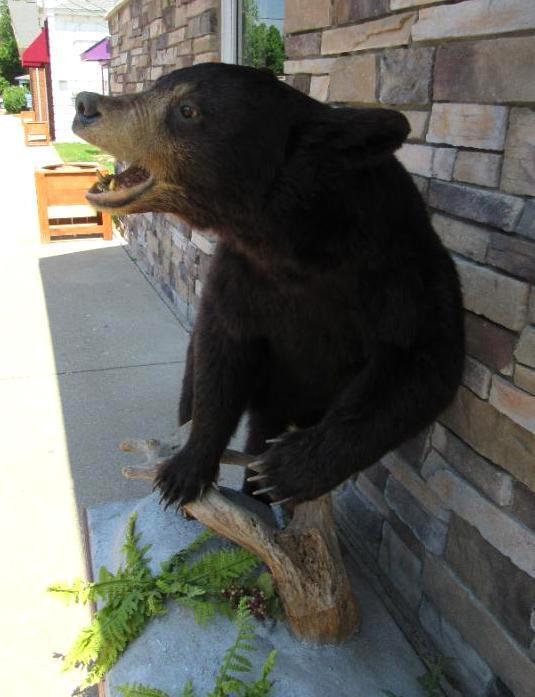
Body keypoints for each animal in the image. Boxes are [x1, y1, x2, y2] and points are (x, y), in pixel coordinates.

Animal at [73, 64, 466, 506]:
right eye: (157, 86)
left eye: (188, 109)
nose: (85, 105)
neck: (291, 247)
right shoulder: (242, 277)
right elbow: (219, 359)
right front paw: (184, 471)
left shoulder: (398, 275)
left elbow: (420, 366)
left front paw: (285, 471)